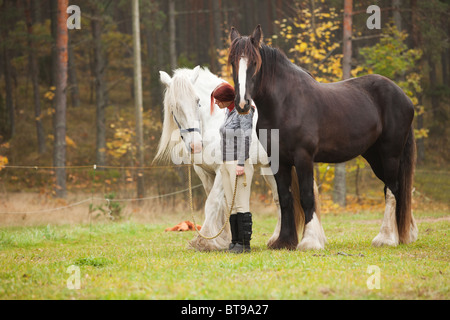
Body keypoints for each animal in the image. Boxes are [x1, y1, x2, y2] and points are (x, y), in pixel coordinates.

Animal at [155, 66, 324, 251]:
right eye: (174, 106)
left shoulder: (221, 170)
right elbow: (221, 205)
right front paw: (221, 239)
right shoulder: (204, 173)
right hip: (271, 170)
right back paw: (276, 240)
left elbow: (212, 202)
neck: (213, 123)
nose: (195, 145)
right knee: (280, 199)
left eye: (197, 101)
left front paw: (204, 241)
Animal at [230, 25, 416, 250]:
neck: (285, 103)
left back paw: (386, 238)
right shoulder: (278, 160)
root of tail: (404, 97)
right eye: (232, 62)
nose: (242, 104)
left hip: (390, 155)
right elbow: (285, 198)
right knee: (396, 189)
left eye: (255, 63)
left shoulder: (303, 157)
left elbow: (307, 196)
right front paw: (284, 241)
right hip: (375, 157)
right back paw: (404, 235)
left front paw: (310, 241)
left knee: (392, 190)